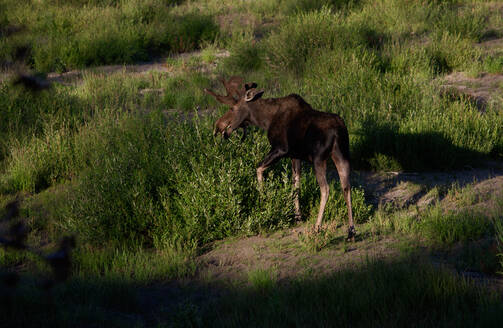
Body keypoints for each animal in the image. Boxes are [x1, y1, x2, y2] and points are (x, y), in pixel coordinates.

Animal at [203, 77, 356, 241]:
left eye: (233, 108)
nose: (218, 126)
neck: (265, 120)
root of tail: (337, 131)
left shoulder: (281, 149)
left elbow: (259, 168)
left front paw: (264, 202)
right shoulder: (295, 156)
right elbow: (295, 185)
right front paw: (297, 216)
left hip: (319, 159)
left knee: (326, 189)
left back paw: (317, 228)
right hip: (342, 155)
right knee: (346, 186)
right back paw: (351, 231)